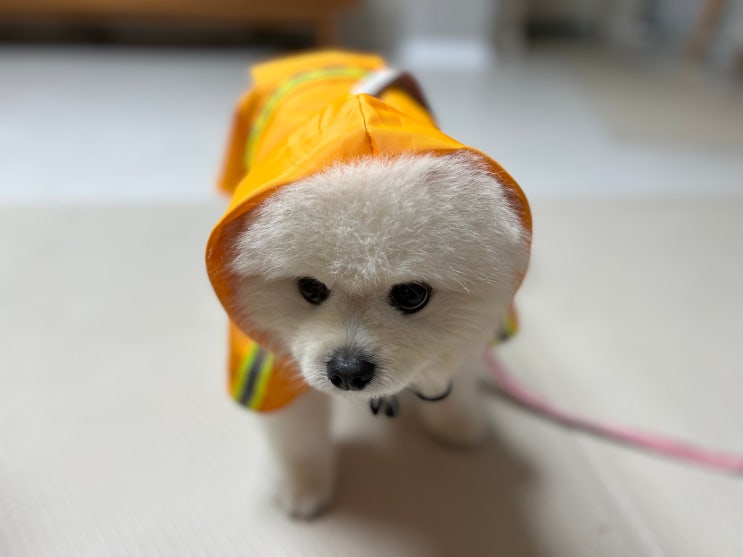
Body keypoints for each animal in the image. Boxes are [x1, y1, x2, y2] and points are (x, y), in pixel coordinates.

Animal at [206, 51, 531, 518]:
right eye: (310, 288)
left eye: (412, 295)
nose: (346, 371)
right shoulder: (269, 358)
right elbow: (298, 434)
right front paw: (304, 483)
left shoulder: (481, 317)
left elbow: (459, 369)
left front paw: (457, 421)